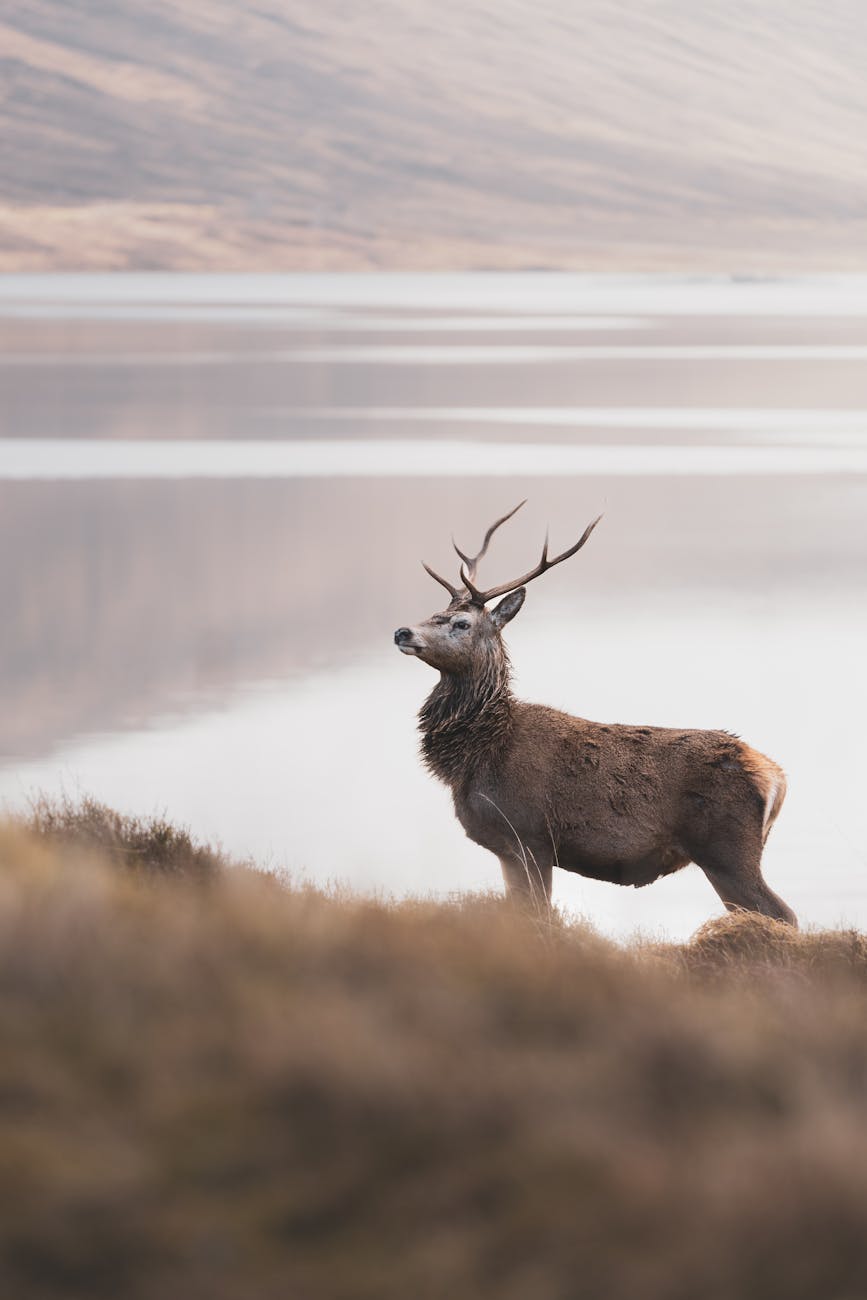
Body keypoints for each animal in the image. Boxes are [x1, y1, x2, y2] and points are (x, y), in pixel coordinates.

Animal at [394, 502, 796, 926]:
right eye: (434, 613)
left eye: (462, 623)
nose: (403, 632)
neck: (480, 753)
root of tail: (776, 776)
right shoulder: (506, 848)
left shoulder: (530, 835)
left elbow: (541, 916)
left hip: (727, 849)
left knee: (783, 912)